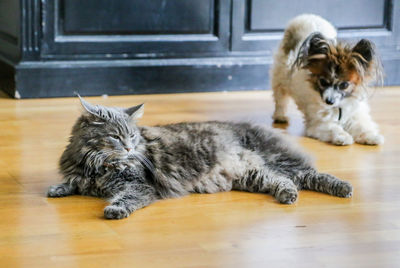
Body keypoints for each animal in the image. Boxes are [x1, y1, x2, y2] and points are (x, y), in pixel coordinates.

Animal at [47, 97, 354, 219]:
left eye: (132, 137)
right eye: (115, 137)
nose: (130, 149)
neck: (97, 165)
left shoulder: (137, 186)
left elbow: (126, 198)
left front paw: (115, 210)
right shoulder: (82, 174)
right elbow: (72, 183)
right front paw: (57, 189)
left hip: (277, 160)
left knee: (309, 174)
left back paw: (344, 188)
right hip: (253, 174)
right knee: (282, 181)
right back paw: (288, 196)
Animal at [270, 13, 382, 146]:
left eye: (344, 85)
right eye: (323, 82)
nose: (329, 101)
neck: (339, 107)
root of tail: (305, 19)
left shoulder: (356, 114)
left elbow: (362, 126)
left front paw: (372, 136)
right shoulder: (320, 123)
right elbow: (333, 128)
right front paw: (343, 137)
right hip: (280, 80)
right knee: (280, 99)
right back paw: (280, 116)